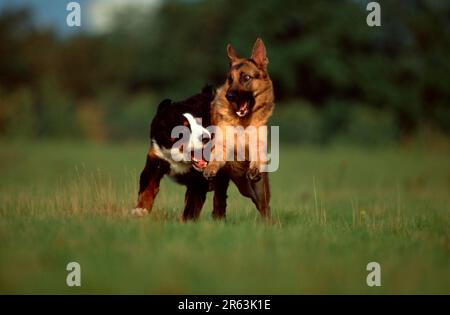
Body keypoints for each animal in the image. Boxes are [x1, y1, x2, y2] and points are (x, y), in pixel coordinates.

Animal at [204, 38, 274, 221]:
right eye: (230, 79)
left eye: (246, 77)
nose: (229, 96)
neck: (243, 123)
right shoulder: (222, 146)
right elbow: (216, 157)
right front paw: (210, 168)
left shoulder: (258, 146)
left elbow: (257, 157)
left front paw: (254, 168)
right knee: (219, 203)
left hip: (257, 191)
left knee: (265, 208)